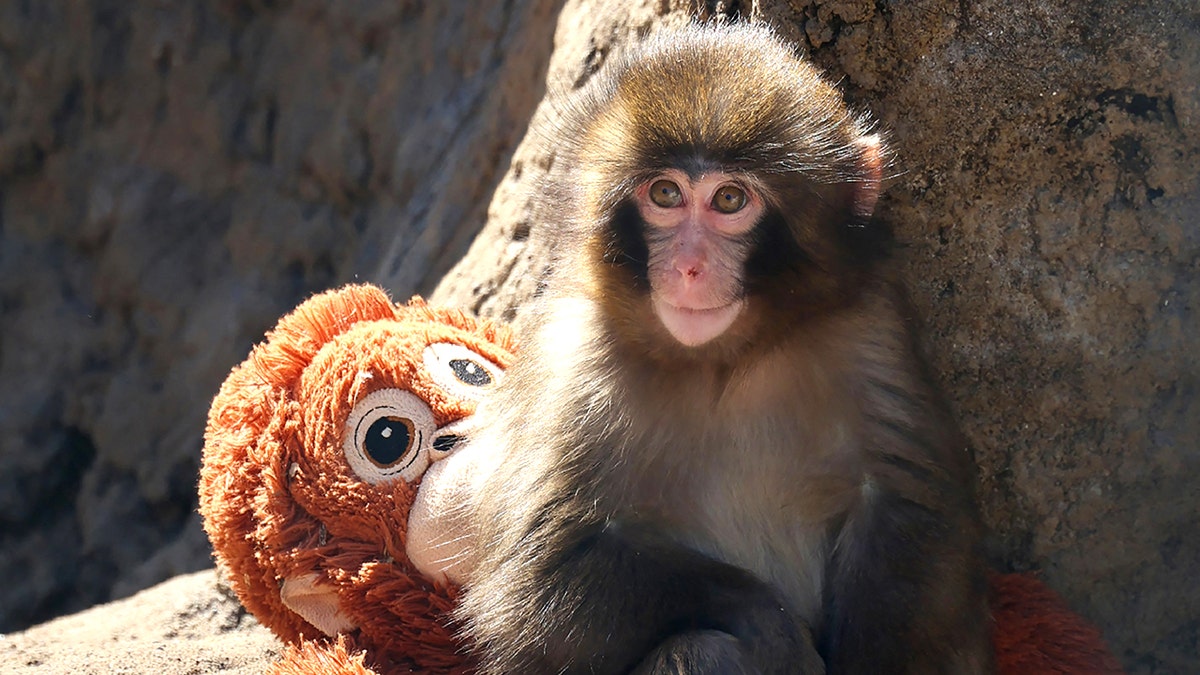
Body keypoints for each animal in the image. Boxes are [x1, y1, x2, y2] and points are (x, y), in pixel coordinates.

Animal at [453, 21, 993, 675]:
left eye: (730, 200)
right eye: (665, 193)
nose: (689, 267)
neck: (724, 361)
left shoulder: (869, 326)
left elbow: (909, 507)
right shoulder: (575, 361)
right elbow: (540, 584)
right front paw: (772, 627)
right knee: (700, 649)